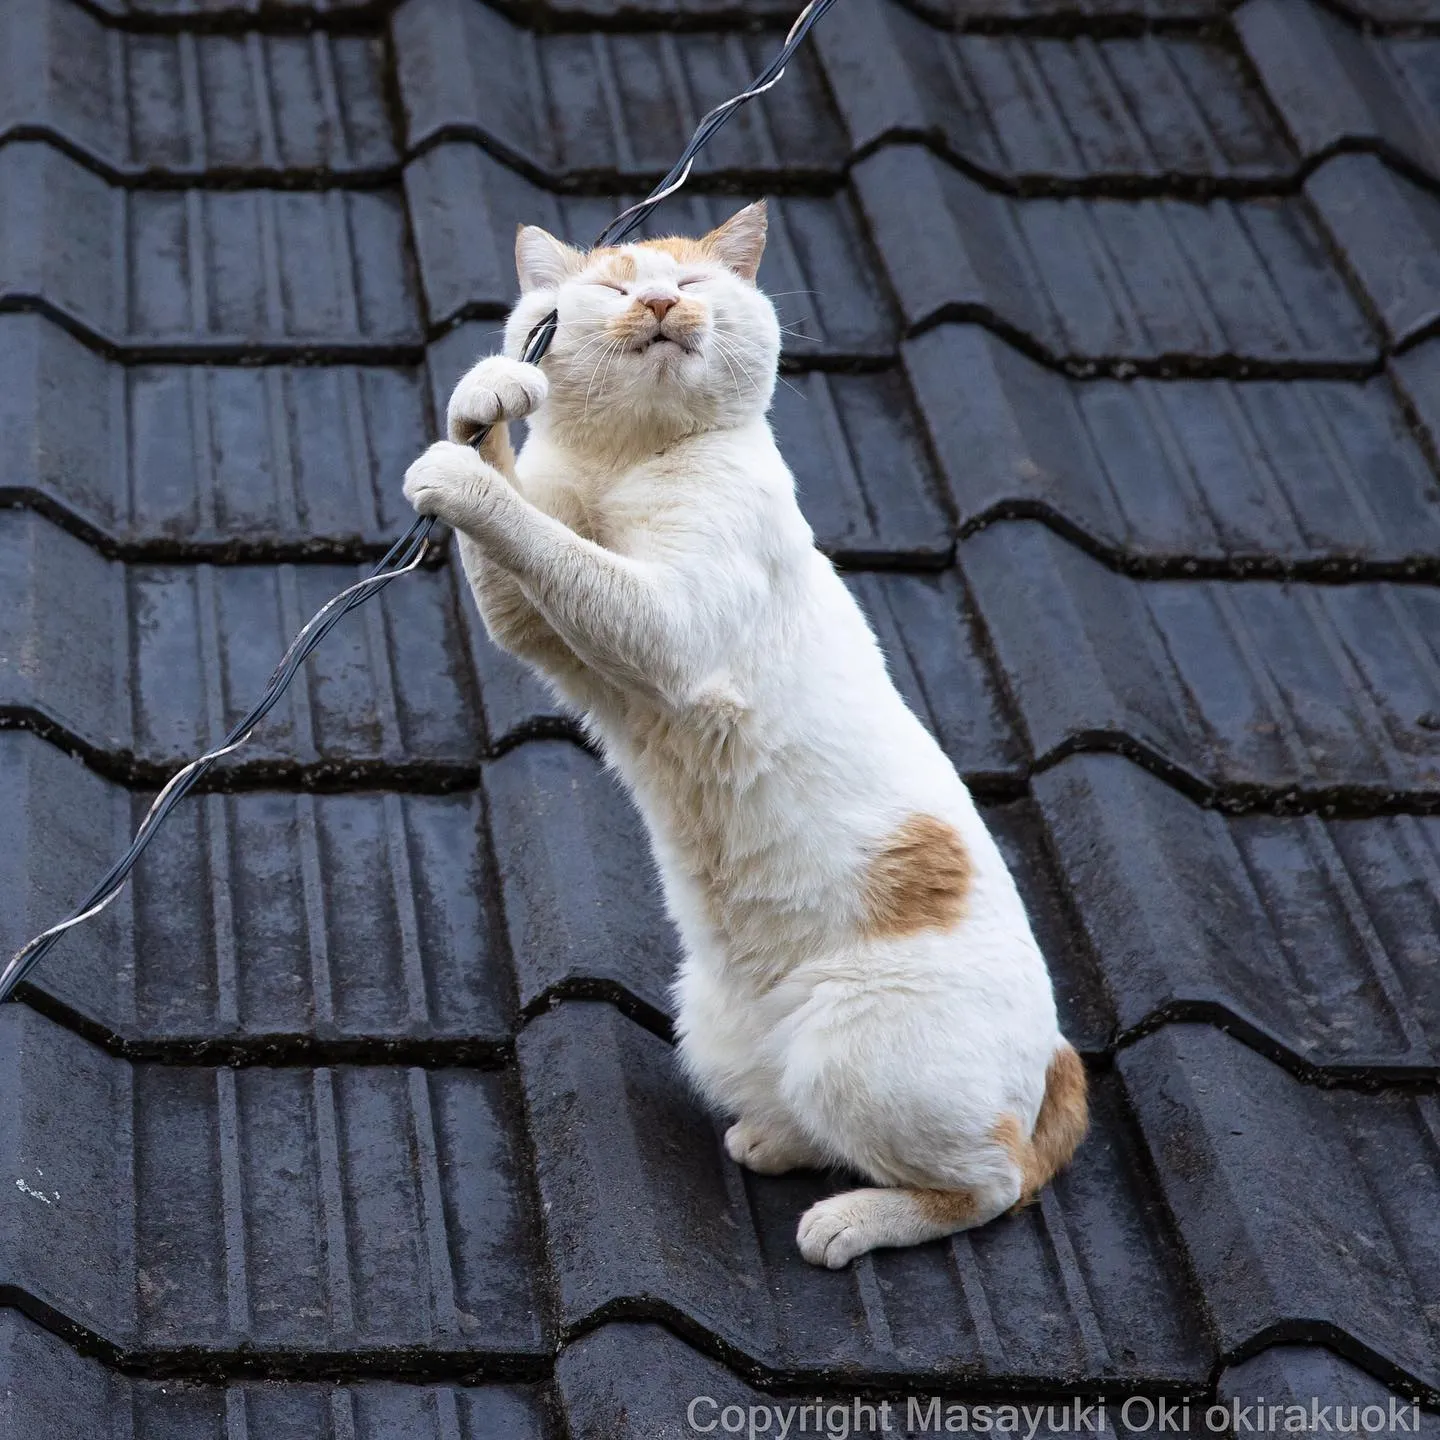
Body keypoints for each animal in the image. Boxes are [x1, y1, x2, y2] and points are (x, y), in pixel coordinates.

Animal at [400, 200, 1082, 1261]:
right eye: (613, 285)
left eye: (692, 283)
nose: (657, 301)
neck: (627, 466)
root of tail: (1059, 1061)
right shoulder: (535, 633)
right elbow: (517, 513)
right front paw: (486, 397)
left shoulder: (666, 627)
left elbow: (535, 532)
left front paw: (459, 474)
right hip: (718, 1033)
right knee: (837, 1130)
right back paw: (772, 1139)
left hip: (859, 1055)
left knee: (990, 1182)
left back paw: (849, 1222)